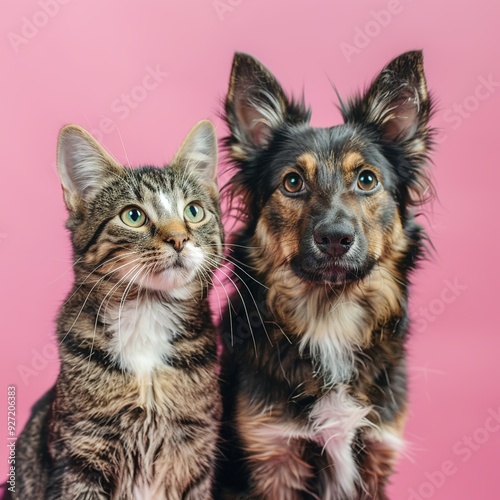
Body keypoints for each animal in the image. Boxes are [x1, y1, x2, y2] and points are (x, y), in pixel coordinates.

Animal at [8, 119, 224, 498]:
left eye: (194, 211)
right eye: (133, 216)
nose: (179, 238)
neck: (148, 314)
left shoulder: (196, 451)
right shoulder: (80, 453)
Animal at [218, 51, 434, 500]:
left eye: (366, 179)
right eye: (293, 182)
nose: (335, 238)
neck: (329, 318)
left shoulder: (376, 451)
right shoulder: (271, 455)